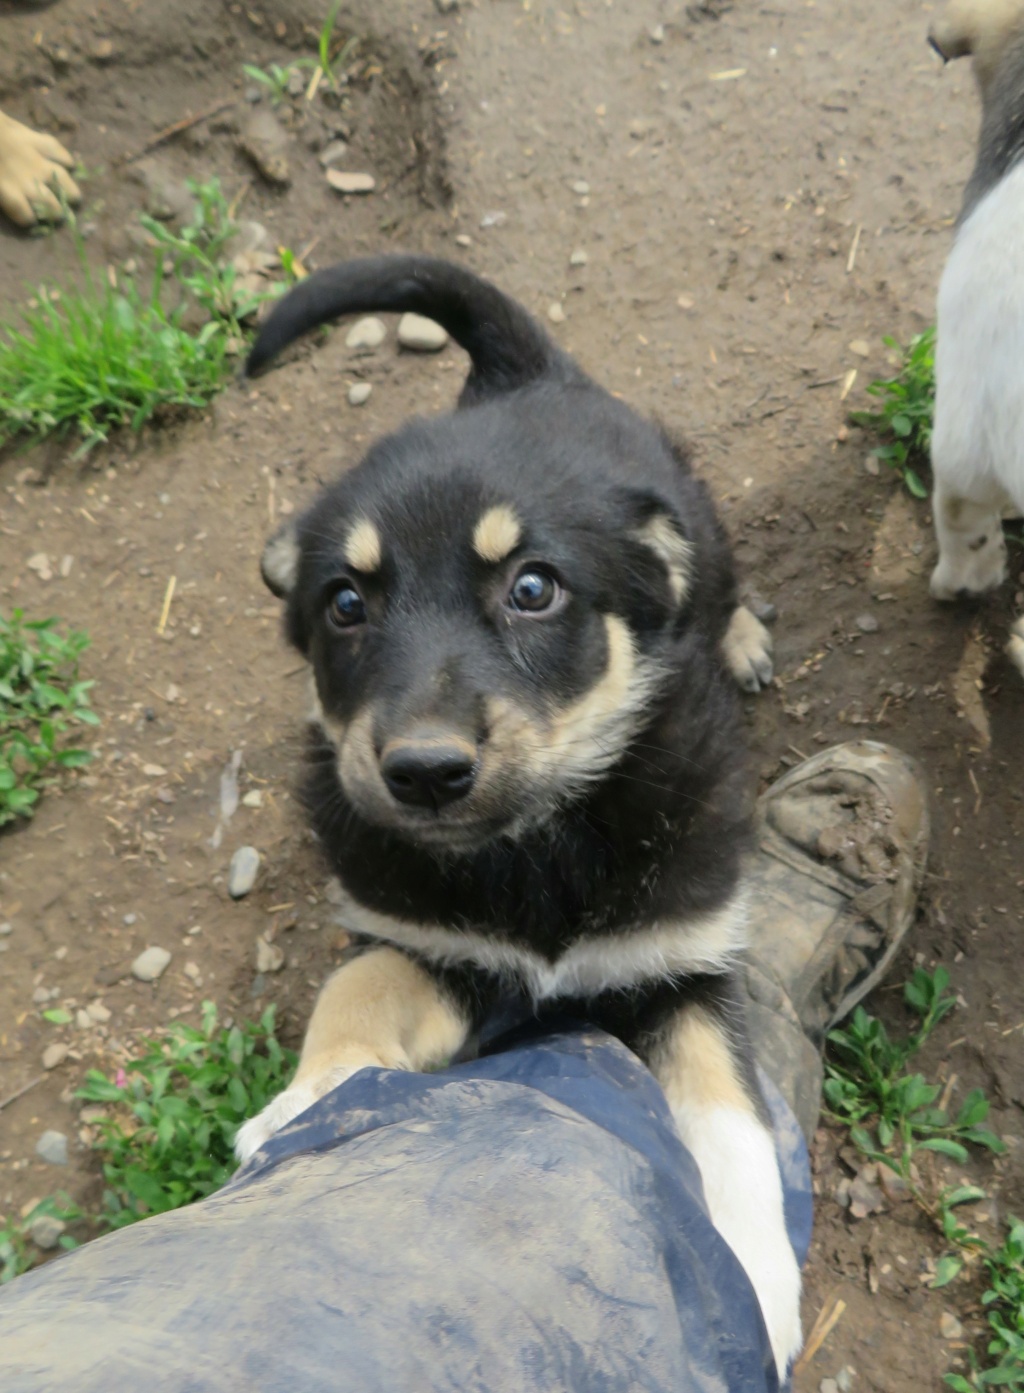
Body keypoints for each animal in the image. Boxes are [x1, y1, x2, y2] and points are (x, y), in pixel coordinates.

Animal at [234, 259, 802, 1381]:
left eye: (532, 588)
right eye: (344, 603)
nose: (423, 772)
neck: (536, 847)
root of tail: (525, 370)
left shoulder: (688, 962)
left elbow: (732, 1120)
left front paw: (755, 1283)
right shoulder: (441, 950)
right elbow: (354, 987)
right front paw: (307, 1099)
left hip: (698, 524)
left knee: (714, 586)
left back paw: (741, 635)